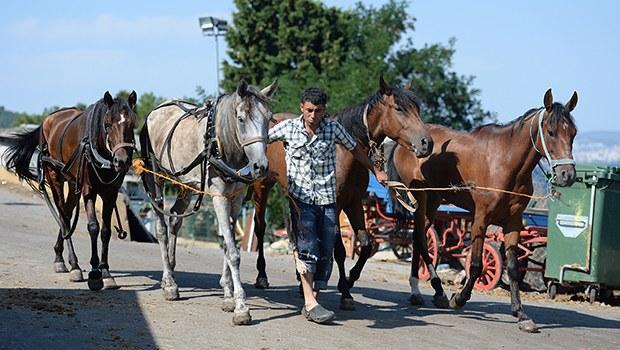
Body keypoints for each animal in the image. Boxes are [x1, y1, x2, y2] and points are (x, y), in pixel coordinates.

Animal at [3, 91, 138, 292]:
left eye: (132, 124)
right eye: (107, 124)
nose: (121, 161)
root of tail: (47, 120)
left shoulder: (110, 193)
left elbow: (106, 231)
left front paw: (106, 271)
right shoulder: (89, 190)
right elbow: (93, 227)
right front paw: (95, 273)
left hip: (74, 183)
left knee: (66, 212)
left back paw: (60, 256)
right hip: (55, 177)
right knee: (63, 216)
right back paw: (73, 264)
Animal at [140, 79, 278, 326]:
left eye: (269, 118)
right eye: (241, 118)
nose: (260, 166)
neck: (220, 143)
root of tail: (157, 110)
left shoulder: (236, 198)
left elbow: (228, 242)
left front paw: (228, 296)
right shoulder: (219, 196)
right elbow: (233, 252)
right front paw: (241, 307)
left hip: (186, 185)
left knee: (175, 219)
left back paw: (171, 272)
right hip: (156, 177)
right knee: (162, 228)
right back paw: (169, 283)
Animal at [390, 89, 580, 332]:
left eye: (573, 133)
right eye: (551, 132)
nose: (567, 175)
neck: (506, 163)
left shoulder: (513, 223)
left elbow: (513, 268)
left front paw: (521, 314)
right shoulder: (480, 219)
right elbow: (477, 265)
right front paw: (459, 298)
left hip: (433, 200)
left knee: (419, 238)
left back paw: (421, 291)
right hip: (421, 197)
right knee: (422, 241)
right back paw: (435, 291)